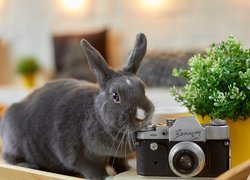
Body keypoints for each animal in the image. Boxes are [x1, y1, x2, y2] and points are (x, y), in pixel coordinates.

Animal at [0, 33, 154, 179]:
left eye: (143, 89)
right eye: (115, 96)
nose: (141, 115)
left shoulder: (116, 156)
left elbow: (121, 165)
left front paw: (128, 170)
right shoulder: (81, 158)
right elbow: (94, 171)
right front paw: (107, 177)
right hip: (16, 145)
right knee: (9, 158)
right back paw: (29, 166)